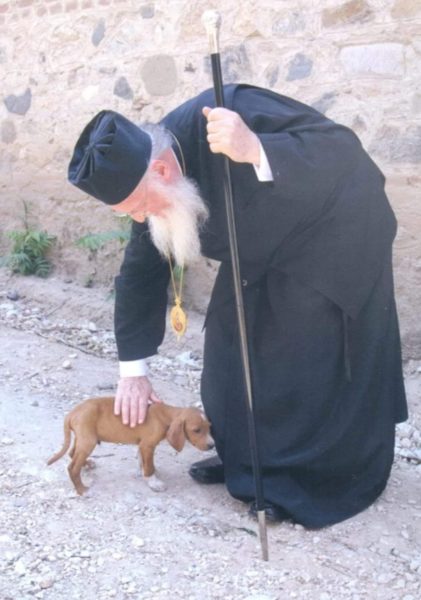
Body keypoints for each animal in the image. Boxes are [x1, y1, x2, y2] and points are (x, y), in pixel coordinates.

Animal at [47, 397, 214, 495]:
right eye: (196, 430)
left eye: (209, 427)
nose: (212, 445)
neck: (165, 415)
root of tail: (72, 413)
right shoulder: (147, 445)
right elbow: (149, 466)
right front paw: (153, 482)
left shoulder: (141, 445)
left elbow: (142, 461)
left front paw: (145, 472)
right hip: (88, 441)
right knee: (72, 467)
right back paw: (82, 490)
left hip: (82, 438)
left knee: (72, 454)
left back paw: (88, 465)